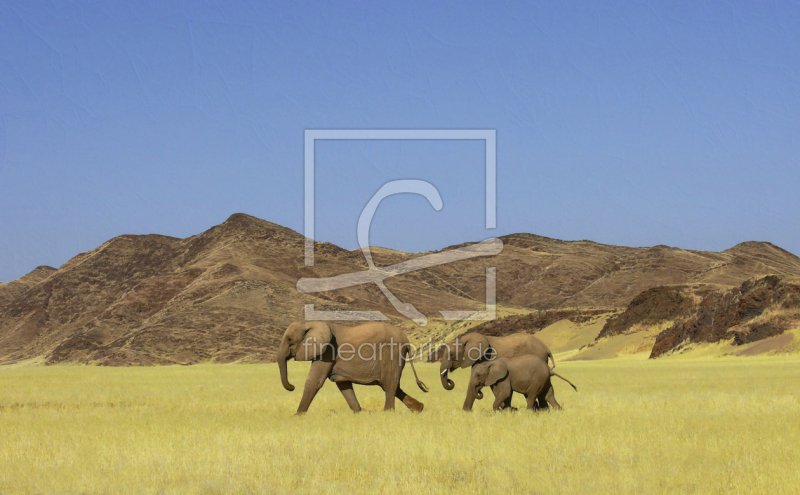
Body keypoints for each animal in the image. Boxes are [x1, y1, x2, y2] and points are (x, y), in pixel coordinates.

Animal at [276, 322, 428, 414]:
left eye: (289, 339)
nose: (292, 386)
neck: (311, 323)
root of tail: (407, 341)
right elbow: (343, 384)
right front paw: (359, 413)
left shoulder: (328, 351)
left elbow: (314, 381)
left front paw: (297, 416)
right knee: (392, 386)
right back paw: (419, 409)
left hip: (392, 354)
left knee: (389, 384)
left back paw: (388, 413)